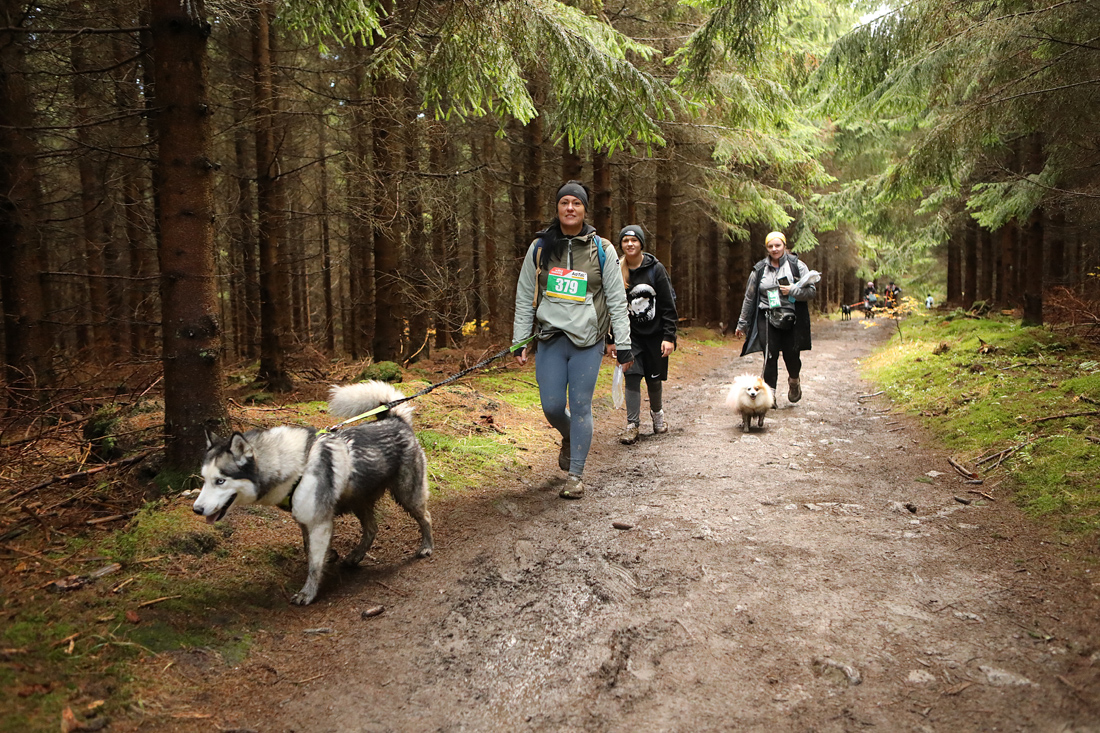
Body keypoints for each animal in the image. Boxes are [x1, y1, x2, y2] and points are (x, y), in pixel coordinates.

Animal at [193, 381, 433, 605]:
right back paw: (356, 556)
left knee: (425, 517)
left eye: (220, 481)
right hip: (358, 500)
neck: (296, 467)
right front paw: (329, 557)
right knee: (372, 529)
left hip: (407, 495)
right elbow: (309, 550)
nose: (196, 509)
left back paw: (426, 547)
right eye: (204, 479)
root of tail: (395, 419)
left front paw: (308, 593)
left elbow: (314, 564)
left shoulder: (319, 522)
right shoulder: (304, 519)